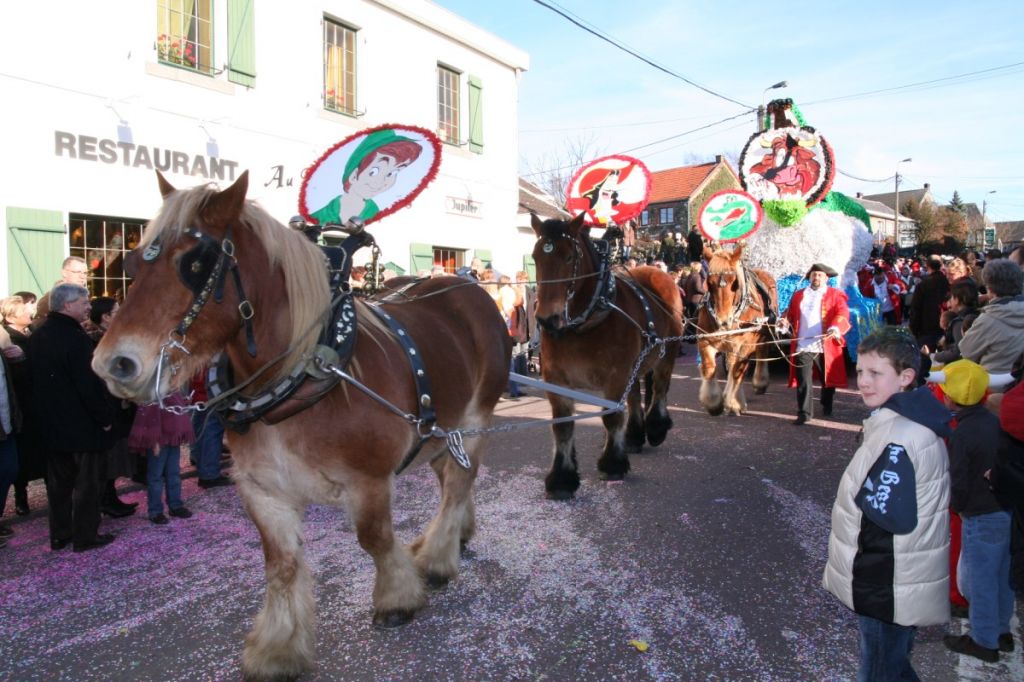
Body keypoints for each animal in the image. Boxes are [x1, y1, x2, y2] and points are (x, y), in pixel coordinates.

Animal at [92, 171, 512, 679]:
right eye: (132, 261)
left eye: (195, 262)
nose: (113, 364)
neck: (303, 373)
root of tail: (468, 288)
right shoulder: (263, 490)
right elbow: (281, 565)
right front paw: (278, 648)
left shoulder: (369, 481)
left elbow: (374, 539)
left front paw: (397, 597)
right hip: (438, 433)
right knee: (450, 478)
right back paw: (457, 536)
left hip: (473, 420)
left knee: (458, 483)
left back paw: (436, 557)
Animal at [528, 214, 679, 499]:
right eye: (535, 256)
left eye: (568, 257)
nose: (547, 319)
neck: (585, 322)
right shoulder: (555, 380)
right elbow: (562, 426)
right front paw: (562, 479)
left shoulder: (615, 376)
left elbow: (611, 417)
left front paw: (612, 464)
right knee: (634, 398)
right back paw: (633, 437)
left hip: (667, 354)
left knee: (660, 388)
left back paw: (655, 428)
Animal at [700, 244, 778, 413]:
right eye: (709, 283)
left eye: (734, 283)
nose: (723, 321)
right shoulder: (704, 340)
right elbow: (709, 367)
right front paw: (713, 403)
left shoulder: (746, 344)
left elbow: (738, 371)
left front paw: (734, 403)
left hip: (765, 331)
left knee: (761, 351)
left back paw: (760, 382)